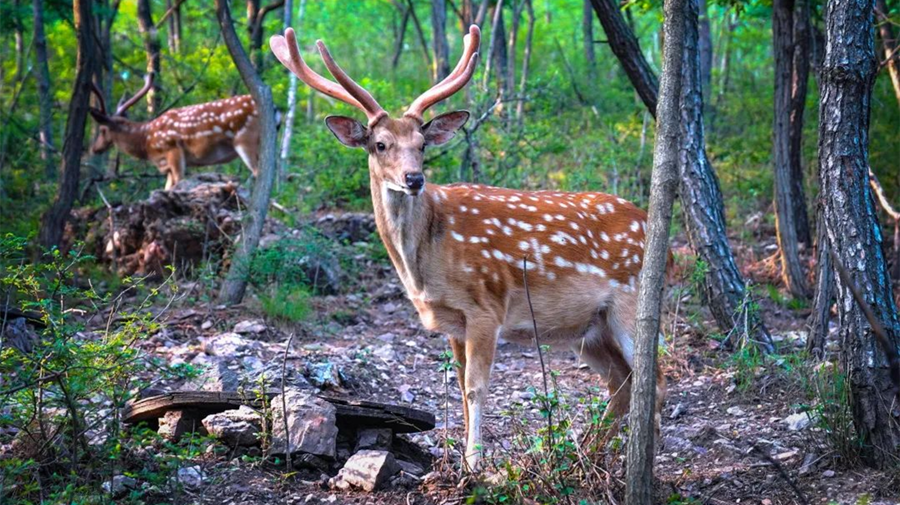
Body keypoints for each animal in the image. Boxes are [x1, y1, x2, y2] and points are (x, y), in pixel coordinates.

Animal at [88, 76, 262, 190]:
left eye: (102, 130)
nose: (94, 148)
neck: (146, 141)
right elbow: (167, 187)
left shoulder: (172, 150)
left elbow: (178, 182)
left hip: (246, 139)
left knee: (259, 172)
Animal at [270, 23, 664, 470]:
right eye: (380, 144)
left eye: (422, 144)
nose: (413, 179)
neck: (426, 262)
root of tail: (655, 232)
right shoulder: (453, 322)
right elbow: (459, 387)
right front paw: (458, 458)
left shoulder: (486, 308)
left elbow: (476, 388)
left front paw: (474, 466)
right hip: (589, 329)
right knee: (622, 384)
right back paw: (588, 454)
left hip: (631, 302)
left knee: (655, 381)